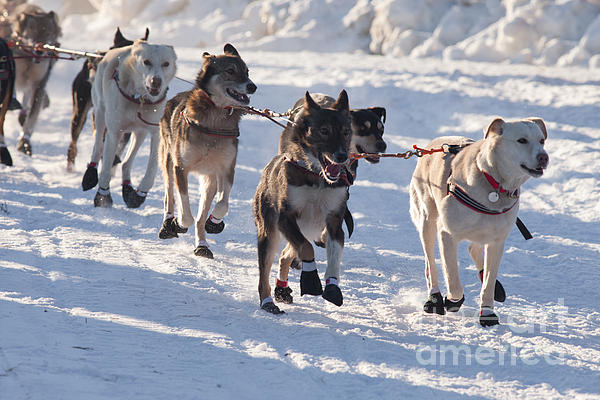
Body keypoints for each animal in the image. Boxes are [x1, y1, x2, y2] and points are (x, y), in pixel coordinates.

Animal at [81, 39, 176, 209]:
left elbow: (151, 169)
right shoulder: (114, 132)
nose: (156, 81)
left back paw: (127, 187)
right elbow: (106, 170)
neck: (139, 99)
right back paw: (90, 173)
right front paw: (103, 195)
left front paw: (140, 193)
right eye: (146, 62)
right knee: (98, 147)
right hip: (100, 114)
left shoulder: (156, 134)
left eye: (166, 63)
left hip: (139, 133)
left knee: (126, 162)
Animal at [410, 117, 548, 326]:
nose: (544, 157)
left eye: (541, 141)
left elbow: (489, 281)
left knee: (473, 248)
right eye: (522, 140)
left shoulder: (497, 241)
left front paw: (488, 312)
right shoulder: (447, 234)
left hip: (483, 230)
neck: (493, 183)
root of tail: (431, 145)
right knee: (430, 264)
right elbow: (453, 279)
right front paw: (452, 301)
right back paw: (434, 298)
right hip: (428, 221)